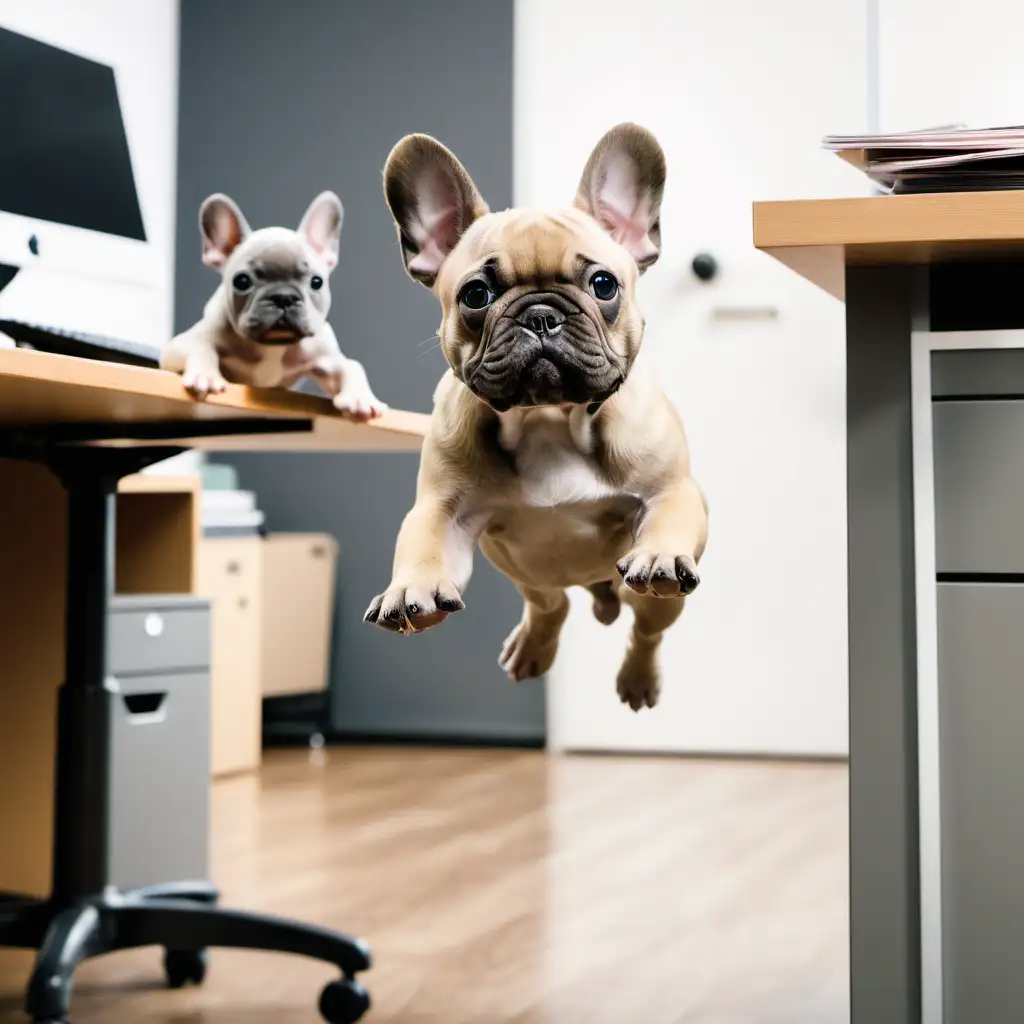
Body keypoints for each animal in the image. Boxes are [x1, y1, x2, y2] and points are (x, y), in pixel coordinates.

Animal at [163, 192, 387, 419]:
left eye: (316, 282)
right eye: (241, 281)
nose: (284, 297)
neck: (273, 346)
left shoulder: (326, 357)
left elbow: (352, 366)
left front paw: (360, 397)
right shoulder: (178, 346)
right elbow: (200, 347)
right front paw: (205, 375)